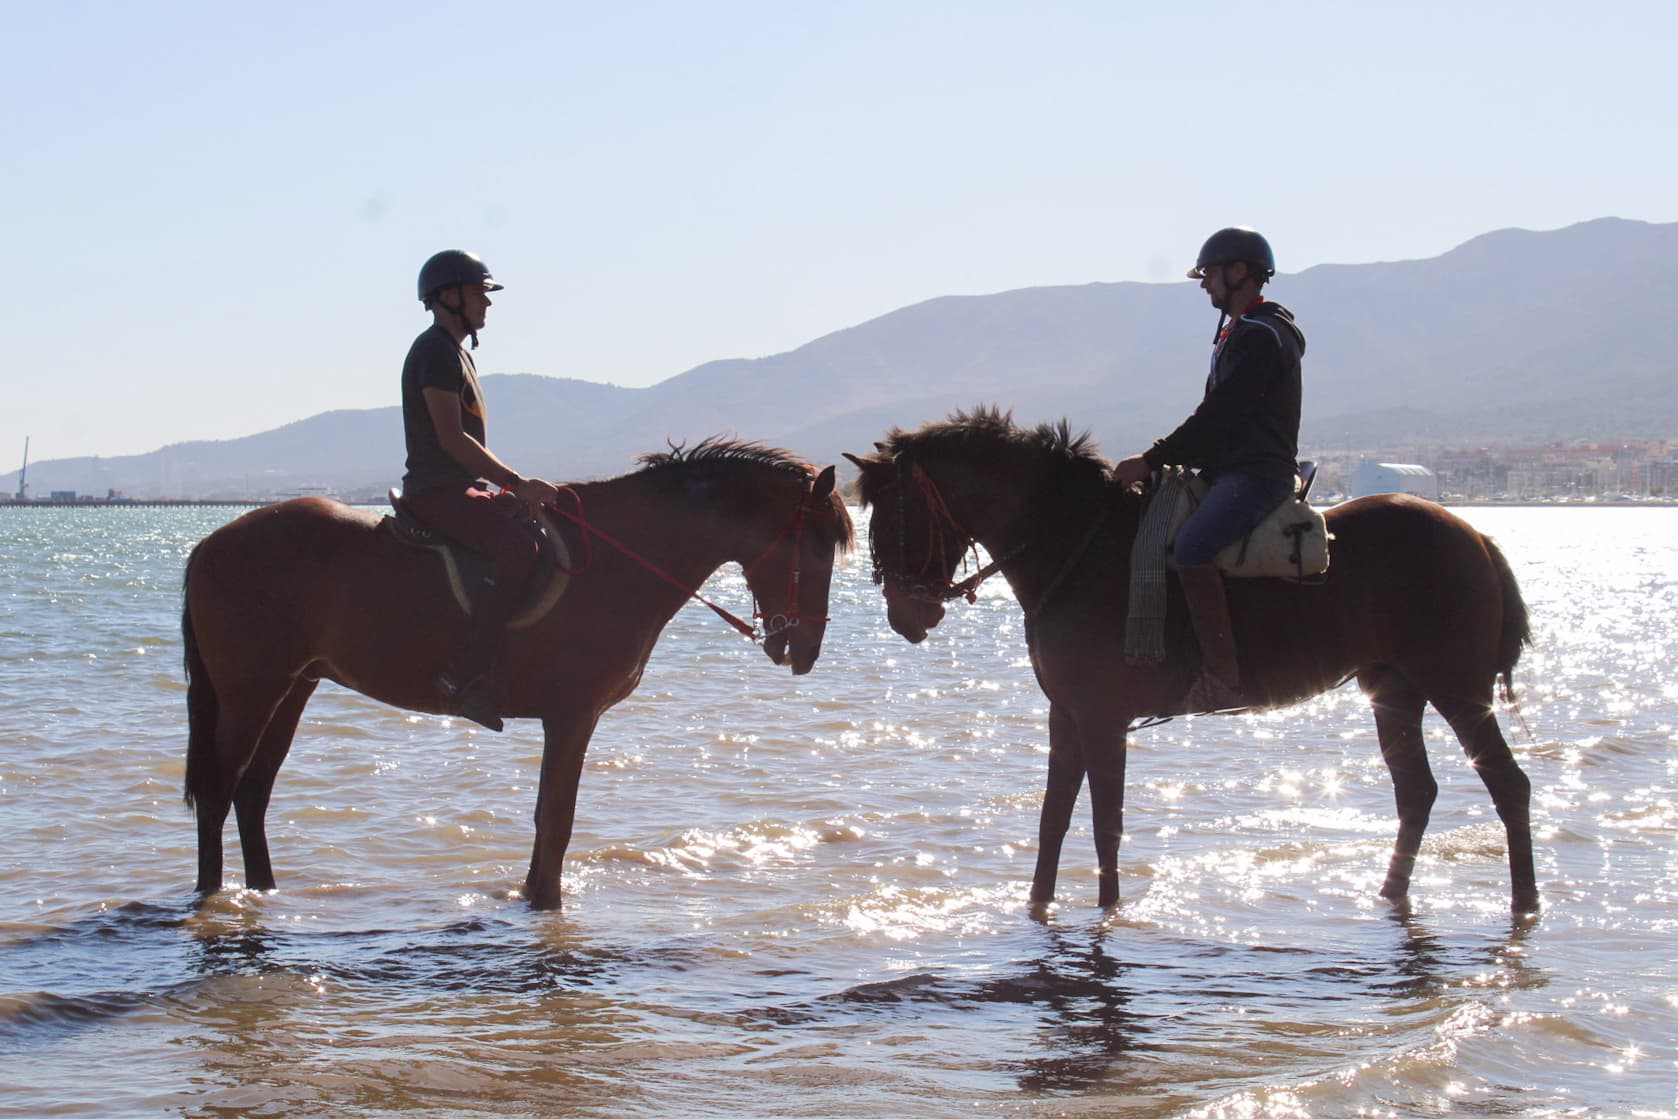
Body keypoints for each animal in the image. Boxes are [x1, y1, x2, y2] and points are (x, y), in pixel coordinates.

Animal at [183, 439, 852, 912]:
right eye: (818, 546)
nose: (806, 649)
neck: (623, 557)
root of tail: (209, 543)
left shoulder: (567, 719)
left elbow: (545, 816)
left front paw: (533, 896)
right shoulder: (574, 716)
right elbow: (557, 819)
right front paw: (547, 903)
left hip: (294, 685)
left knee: (252, 792)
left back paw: (264, 892)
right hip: (251, 690)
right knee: (219, 792)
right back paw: (211, 897)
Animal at [845, 407, 1537, 912]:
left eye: (898, 513)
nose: (905, 615)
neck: (1076, 546)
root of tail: (1476, 535)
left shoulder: (1102, 719)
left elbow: (1105, 822)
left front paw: (1109, 910)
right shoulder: (1066, 716)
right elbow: (1053, 820)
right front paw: (1038, 907)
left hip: (1456, 688)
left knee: (1508, 784)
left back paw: (1525, 902)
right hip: (1394, 689)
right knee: (1417, 792)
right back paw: (1390, 894)